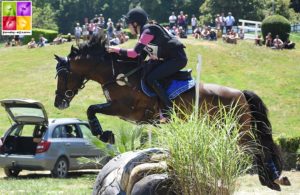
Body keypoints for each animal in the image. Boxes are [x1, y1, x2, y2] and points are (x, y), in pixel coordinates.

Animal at [54, 35, 290, 190]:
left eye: (63, 75)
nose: (58, 103)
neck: (118, 75)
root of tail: (240, 93)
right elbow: (92, 110)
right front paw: (104, 133)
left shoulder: (124, 107)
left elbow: (91, 109)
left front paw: (104, 134)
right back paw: (272, 179)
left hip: (239, 130)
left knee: (257, 148)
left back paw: (274, 179)